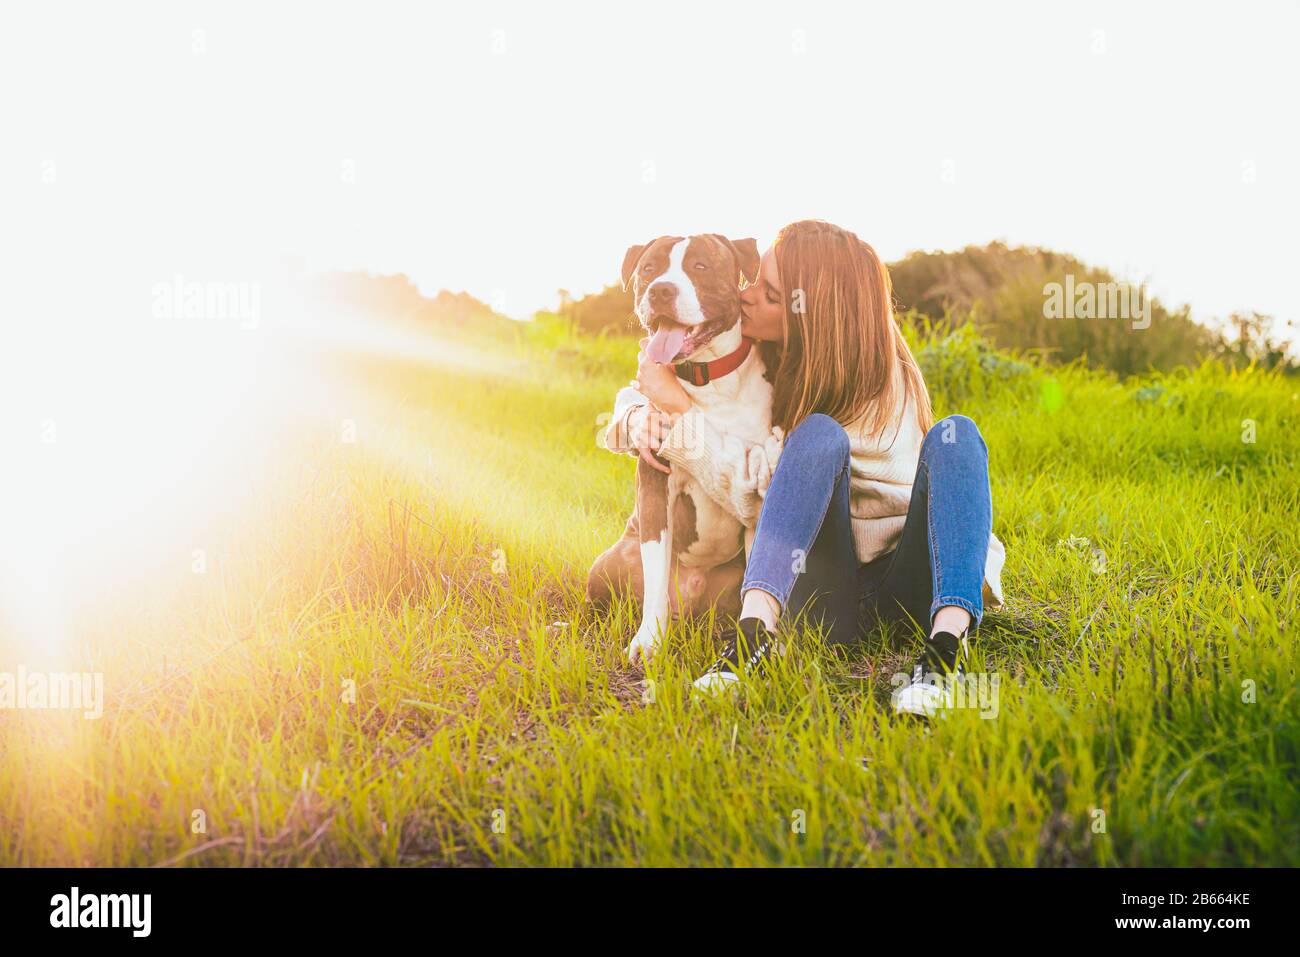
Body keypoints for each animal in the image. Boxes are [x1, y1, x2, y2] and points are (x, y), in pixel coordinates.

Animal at [587, 234, 774, 660]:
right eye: (649, 269)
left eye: (700, 266)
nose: (661, 290)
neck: (708, 379)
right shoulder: (657, 484)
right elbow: (656, 577)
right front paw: (647, 642)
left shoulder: (756, 490)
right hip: (607, 565)